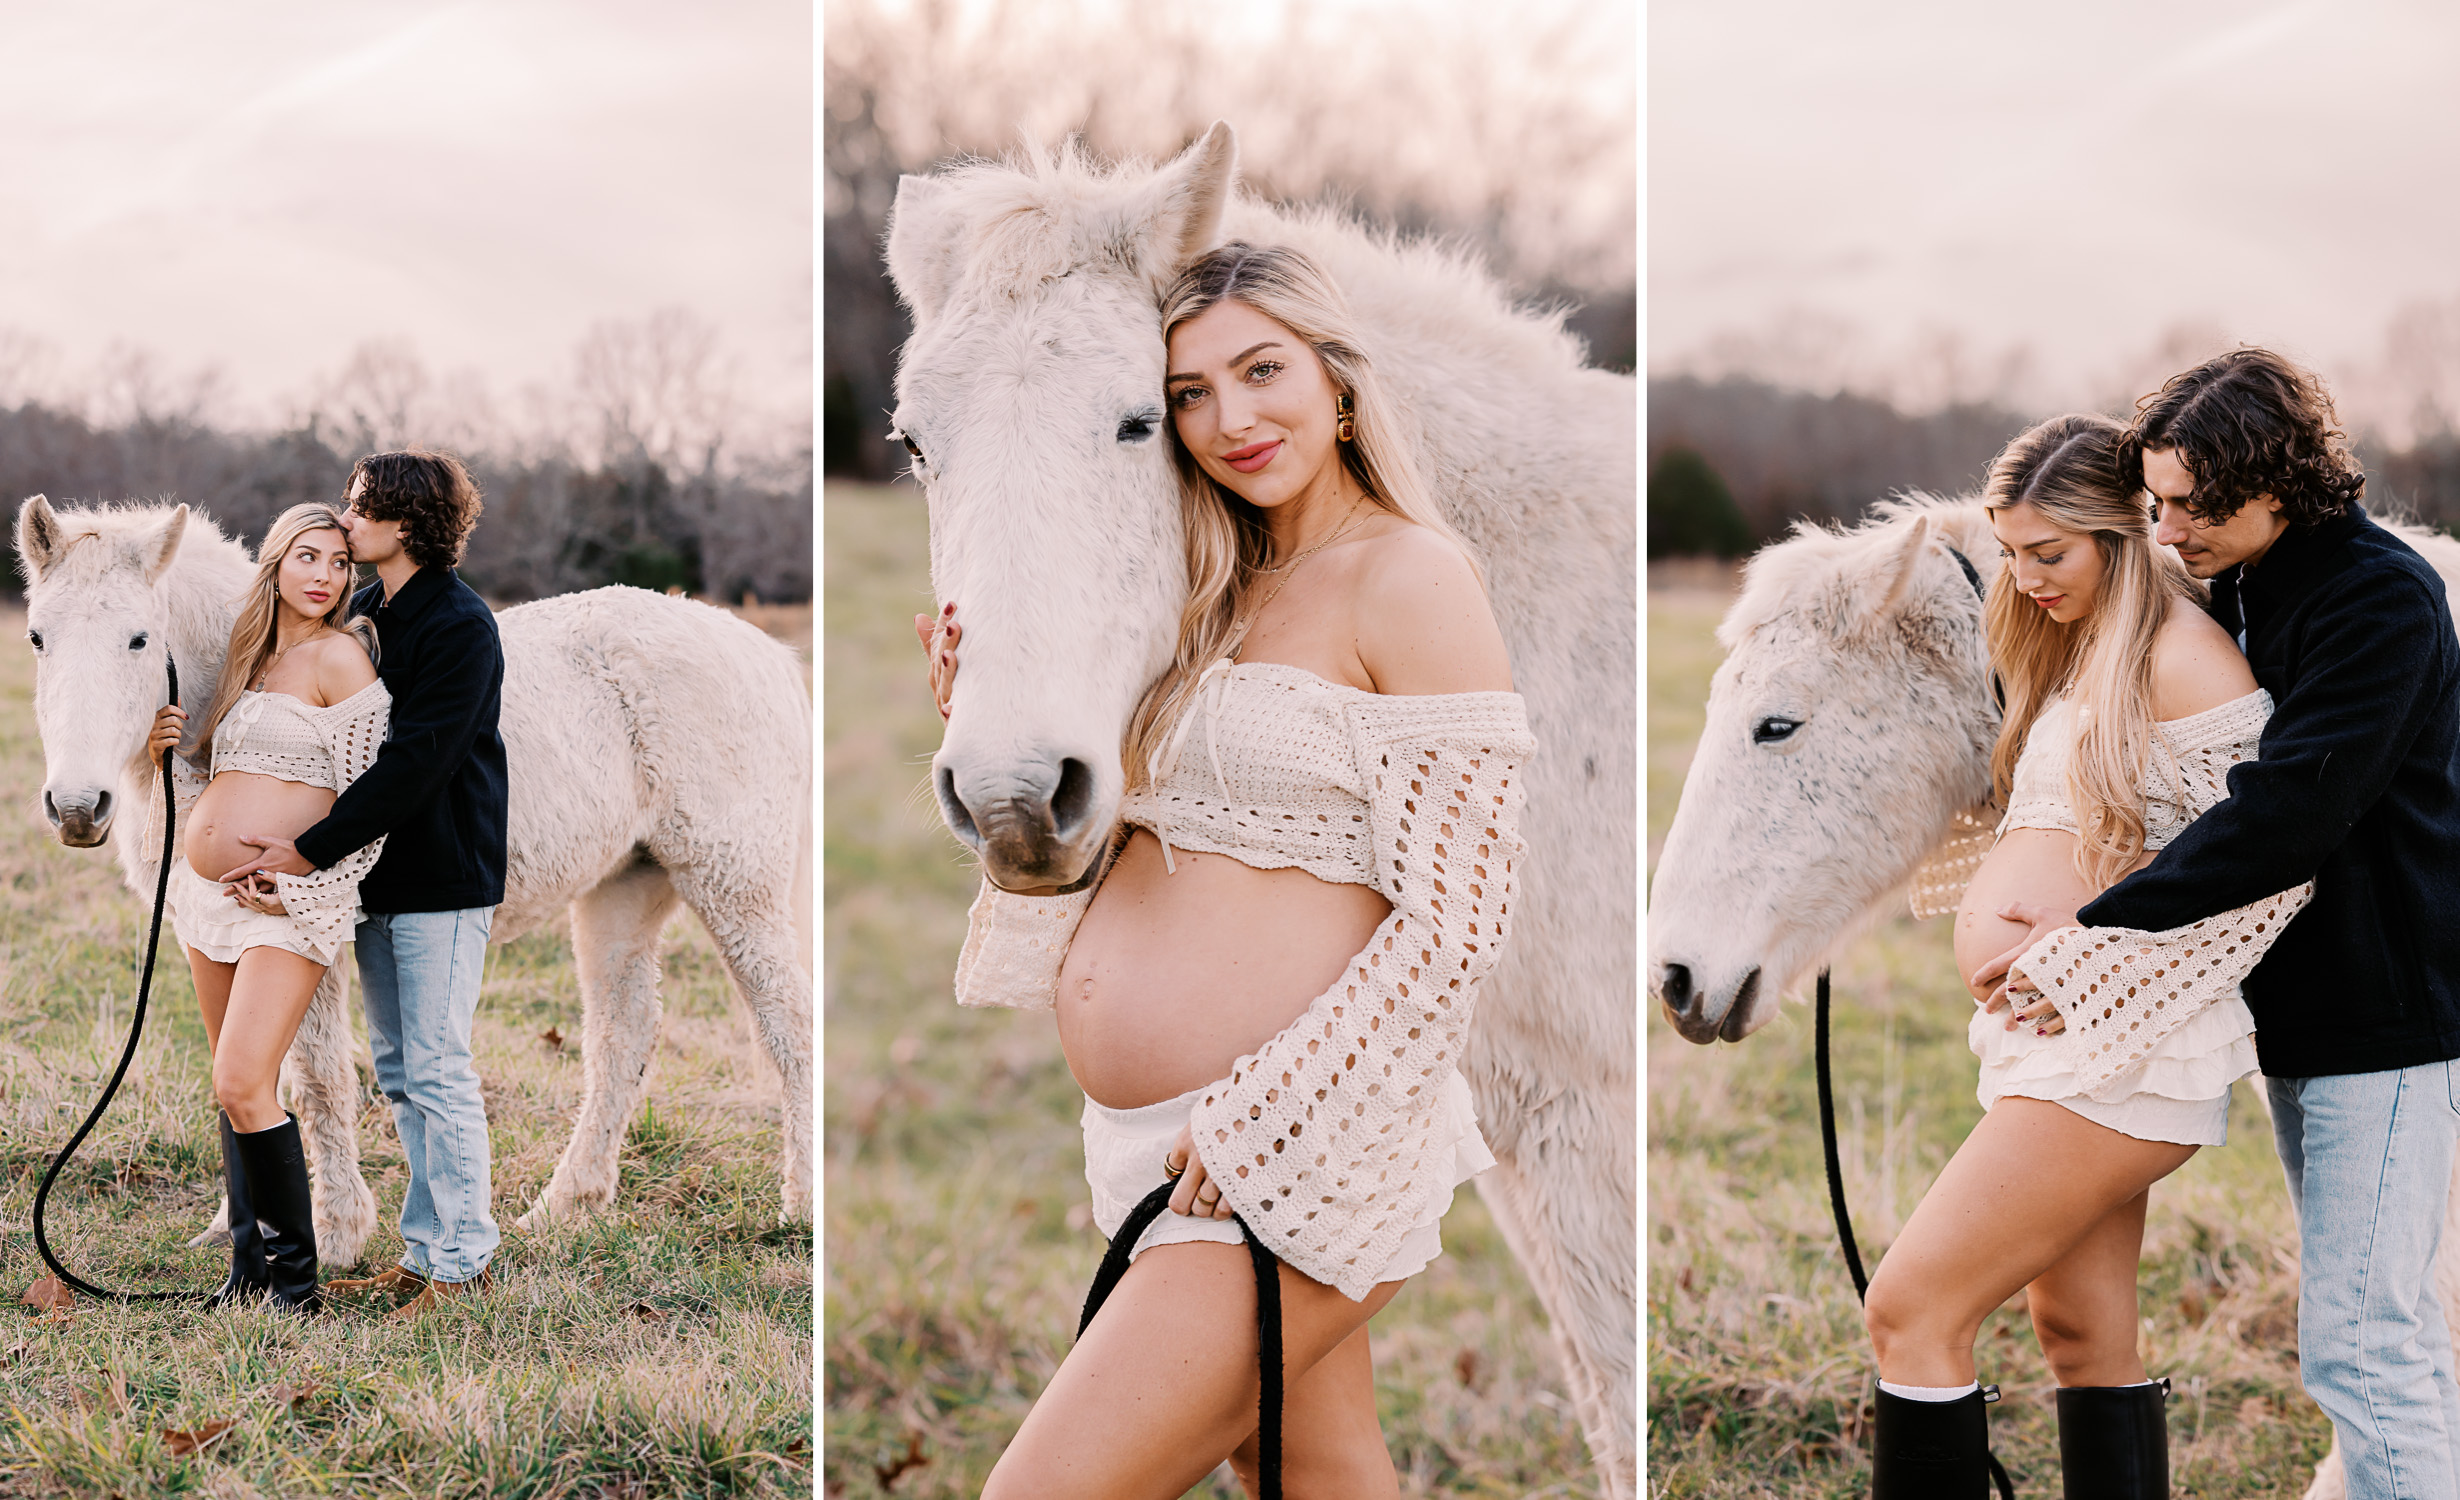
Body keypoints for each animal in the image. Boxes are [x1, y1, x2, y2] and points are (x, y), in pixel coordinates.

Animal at [19, 496, 811, 1268]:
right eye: (36, 639)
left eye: (139, 639)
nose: (77, 809)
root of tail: (765, 655)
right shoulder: (202, 932)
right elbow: (244, 1069)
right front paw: (232, 1229)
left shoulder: (301, 935)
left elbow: (315, 1077)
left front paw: (336, 1234)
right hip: (622, 892)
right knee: (624, 1035)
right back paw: (565, 1207)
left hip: (735, 888)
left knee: (789, 1027)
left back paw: (798, 1210)